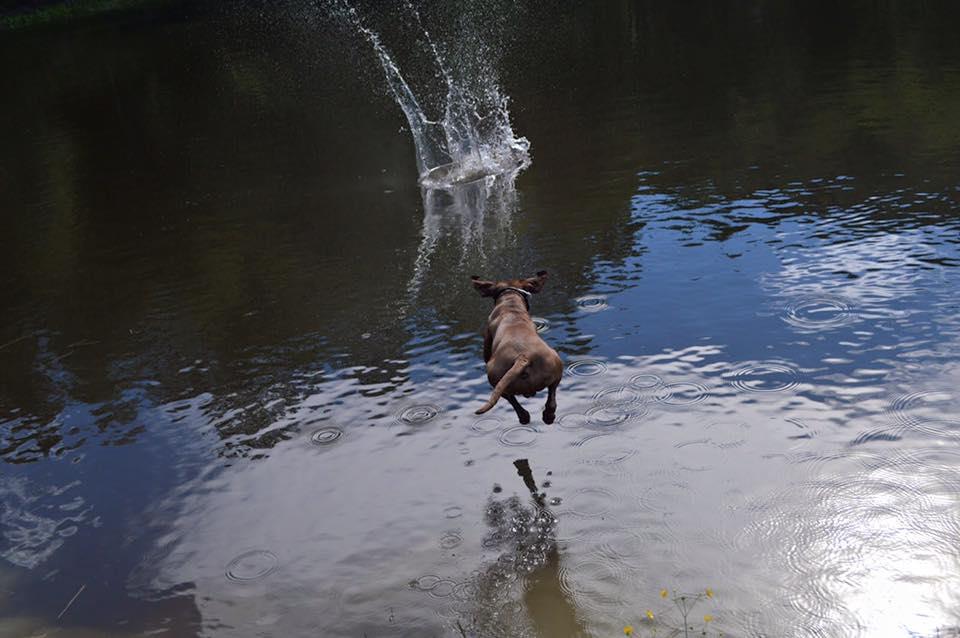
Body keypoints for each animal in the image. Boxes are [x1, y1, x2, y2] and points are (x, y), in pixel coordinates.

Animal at [470, 272, 564, 424]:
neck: (510, 304)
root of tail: (523, 358)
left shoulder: (487, 335)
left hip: (494, 377)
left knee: (513, 401)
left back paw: (524, 416)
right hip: (556, 364)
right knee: (552, 397)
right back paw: (548, 415)